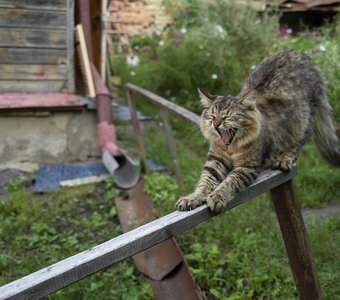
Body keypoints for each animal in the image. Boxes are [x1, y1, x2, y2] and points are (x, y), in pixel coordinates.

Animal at [175, 50, 340, 212]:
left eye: (227, 116)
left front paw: (216, 197)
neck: (230, 148)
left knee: (297, 145)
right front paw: (192, 198)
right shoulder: (215, 161)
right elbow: (204, 183)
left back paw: (284, 159)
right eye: (212, 116)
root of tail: (304, 58)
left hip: (303, 121)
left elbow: (228, 183)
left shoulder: (246, 167)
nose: (215, 125)